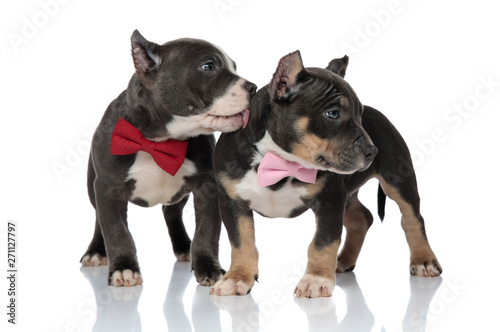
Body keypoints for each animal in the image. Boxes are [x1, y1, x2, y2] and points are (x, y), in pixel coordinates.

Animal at [81, 29, 258, 286]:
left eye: (234, 67)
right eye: (208, 66)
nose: (253, 87)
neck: (161, 140)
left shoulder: (207, 187)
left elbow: (207, 230)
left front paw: (208, 267)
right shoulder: (108, 188)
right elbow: (116, 231)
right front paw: (124, 268)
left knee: (171, 212)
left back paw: (185, 247)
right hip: (92, 184)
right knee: (98, 218)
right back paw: (95, 251)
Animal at [212, 52, 442, 298]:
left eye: (360, 115)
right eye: (332, 114)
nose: (372, 151)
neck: (279, 159)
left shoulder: (329, 201)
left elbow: (323, 242)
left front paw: (316, 279)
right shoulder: (232, 203)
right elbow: (241, 242)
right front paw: (237, 277)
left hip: (399, 181)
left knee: (412, 218)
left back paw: (423, 260)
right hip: (348, 194)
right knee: (362, 217)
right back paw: (343, 261)